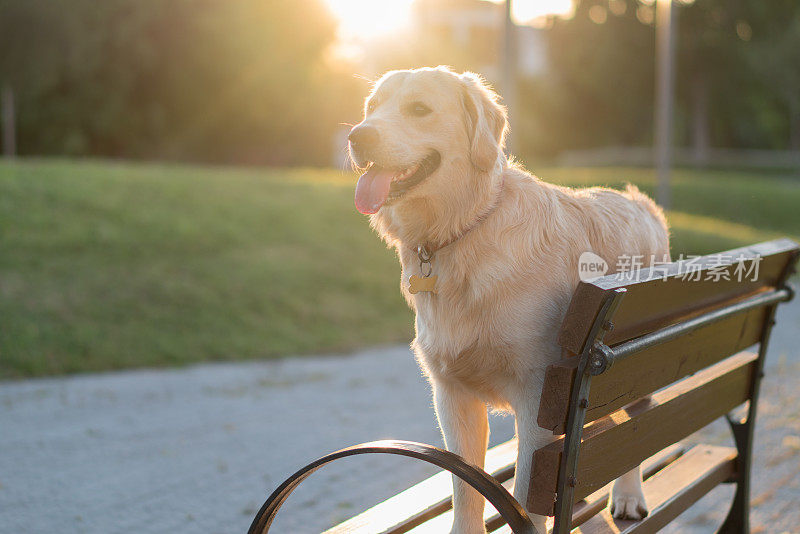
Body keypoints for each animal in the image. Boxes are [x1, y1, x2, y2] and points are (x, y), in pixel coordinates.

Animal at [350, 67, 668, 534]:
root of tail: (640, 201)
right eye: (371, 108)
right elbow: (466, 487)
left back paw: (628, 497)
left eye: (420, 108)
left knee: (634, 432)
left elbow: (525, 497)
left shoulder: (538, 394)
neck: (465, 227)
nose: (357, 136)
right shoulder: (452, 395)